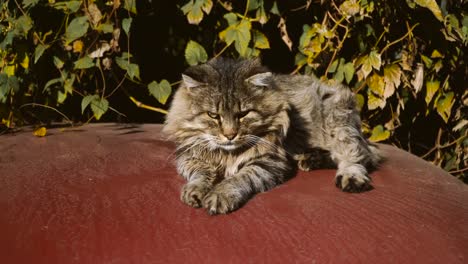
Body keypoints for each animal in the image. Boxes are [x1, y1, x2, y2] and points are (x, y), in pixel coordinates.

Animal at [163, 57, 382, 214]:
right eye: (213, 115)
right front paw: (195, 190)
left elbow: (239, 178)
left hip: (338, 119)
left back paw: (350, 177)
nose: (230, 135)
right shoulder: (189, 158)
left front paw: (221, 194)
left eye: (243, 114)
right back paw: (309, 159)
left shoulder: (269, 162)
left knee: (357, 155)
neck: (227, 154)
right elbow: (201, 175)